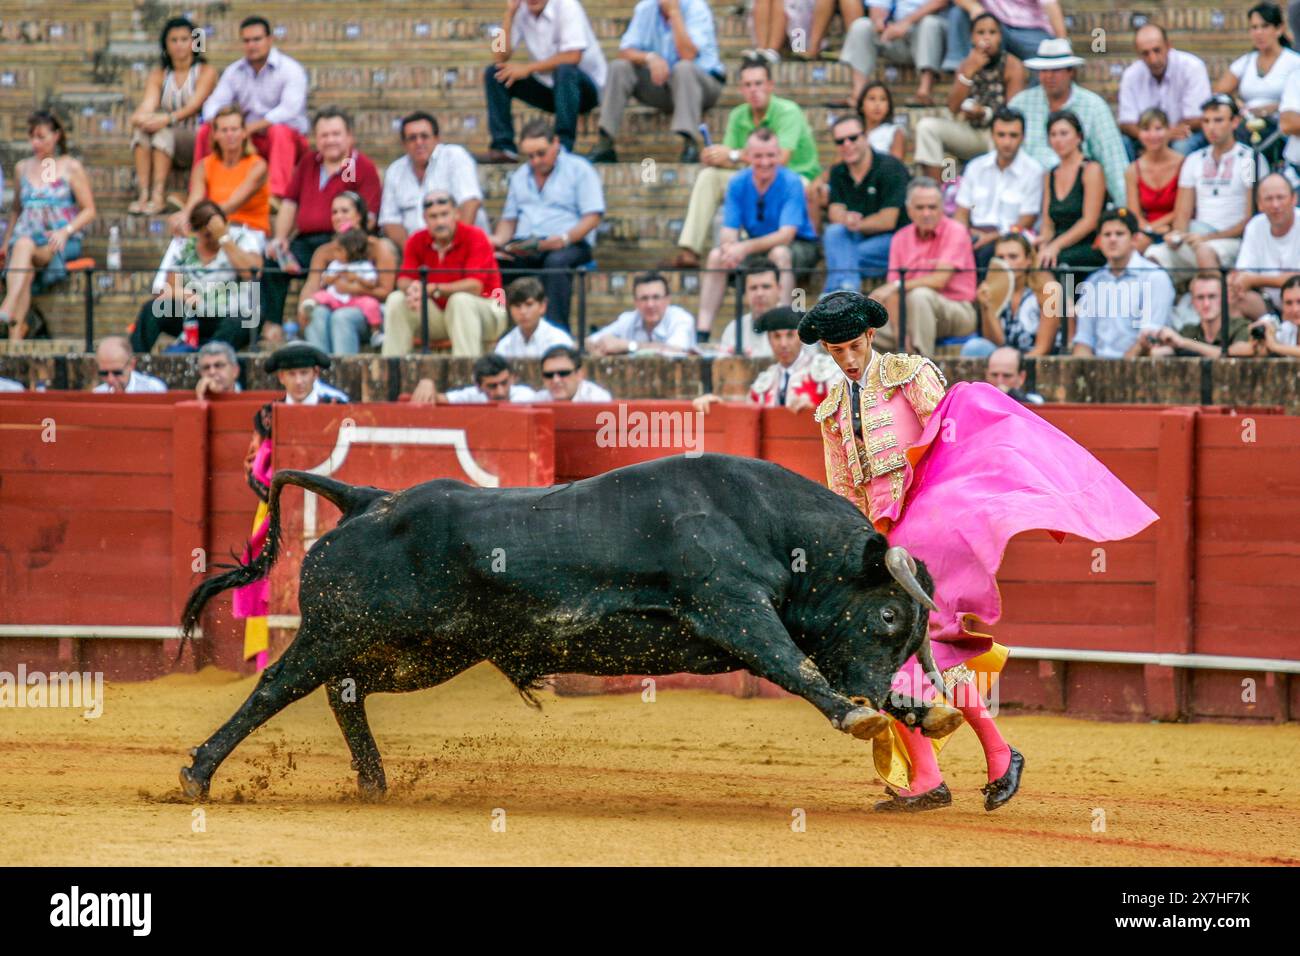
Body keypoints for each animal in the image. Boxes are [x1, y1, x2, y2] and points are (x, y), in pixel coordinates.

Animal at [178, 452, 961, 796]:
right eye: (888, 614)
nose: (869, 694)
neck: (769, 524)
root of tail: (368, 499)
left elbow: (811, 665)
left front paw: (921, 711)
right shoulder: (731, 606)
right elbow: (791, 666)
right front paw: (858, 715)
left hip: (422, 652)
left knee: (345, 694)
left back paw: (374, 784)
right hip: (336, 629)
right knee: (277, 686)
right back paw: (198, 773)